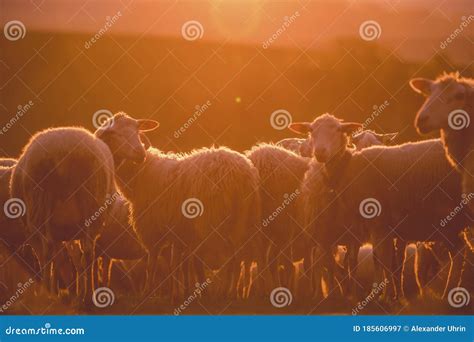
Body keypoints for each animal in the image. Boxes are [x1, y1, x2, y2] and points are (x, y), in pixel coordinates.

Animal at [9, 127, 115, 306]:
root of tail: (64, 149)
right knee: (87, 251)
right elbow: (69, 259)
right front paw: (72, 292)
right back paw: (87, 296)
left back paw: (49, 294)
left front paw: (55, 291)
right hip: (90, 202)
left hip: (40, 205)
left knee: (48, 249)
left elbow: (54, 258)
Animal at [94, 113, 262, 300]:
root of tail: (241, 173)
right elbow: (178, 263)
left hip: (213, 221)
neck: (141, 174)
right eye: (116, 133)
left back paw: (223, 292)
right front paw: (181, 292)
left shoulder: (152, 228)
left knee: (227, 257)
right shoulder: (179, 231)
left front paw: (148, 292)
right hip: (244, 219)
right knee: (238, 256)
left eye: (137, 131)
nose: (140, 153)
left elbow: (152, 263)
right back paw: (231, 292)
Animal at [292, 113, 470, 300]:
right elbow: (380, 259)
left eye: (339, 130)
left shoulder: (380, 224)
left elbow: (384, 260)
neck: (350, 168)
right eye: (311, 131)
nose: (320, 153)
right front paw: (382, 294)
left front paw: (384, 296)